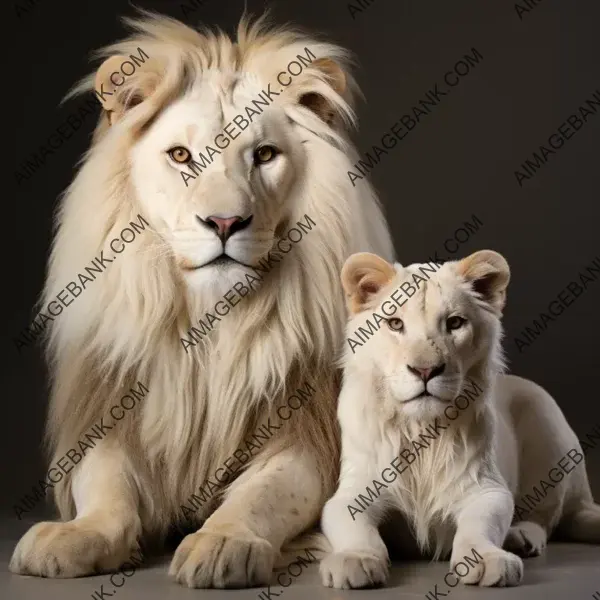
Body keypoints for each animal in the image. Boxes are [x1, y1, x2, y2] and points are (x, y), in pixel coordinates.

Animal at [10, 11, 394, 588]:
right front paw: (69, 539)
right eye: (180, 156)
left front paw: (223, 543)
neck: (210, 322)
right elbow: (105, 488)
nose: (225, 222)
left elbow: (265, 493)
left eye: (264, 155)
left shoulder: (310, 428)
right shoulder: (113, 411)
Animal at [322, 251, 596, 588]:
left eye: (454, 323)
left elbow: (481, 525)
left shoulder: (485, 488)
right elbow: (353, 526)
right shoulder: (355, 490)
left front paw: (486, 559)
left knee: (547, 517)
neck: (420, 429)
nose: (425, 370)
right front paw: (356, 559)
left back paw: (520, 536)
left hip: (546, 417)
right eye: (395, 323)